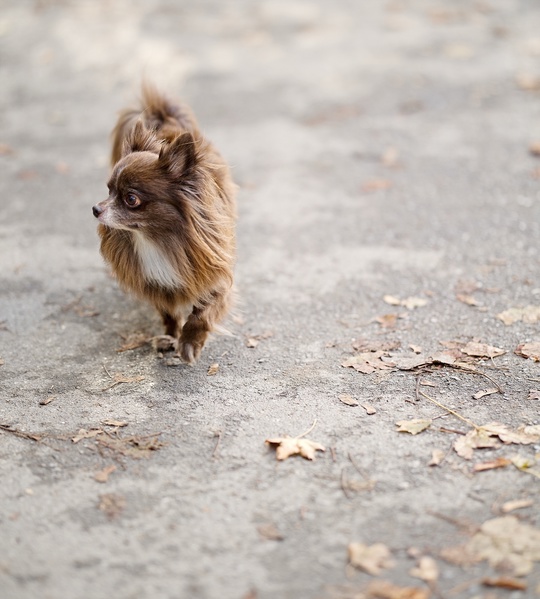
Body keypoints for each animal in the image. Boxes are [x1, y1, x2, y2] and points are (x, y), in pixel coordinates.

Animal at [92, 86, 235, 364]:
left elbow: (202, 313)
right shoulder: (157, 284)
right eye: (108, 190)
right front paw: (170, 336)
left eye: (131, 199)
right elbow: (168, 312)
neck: (157, 238)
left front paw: (189, 343)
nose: (96, 209)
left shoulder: (215, 275)